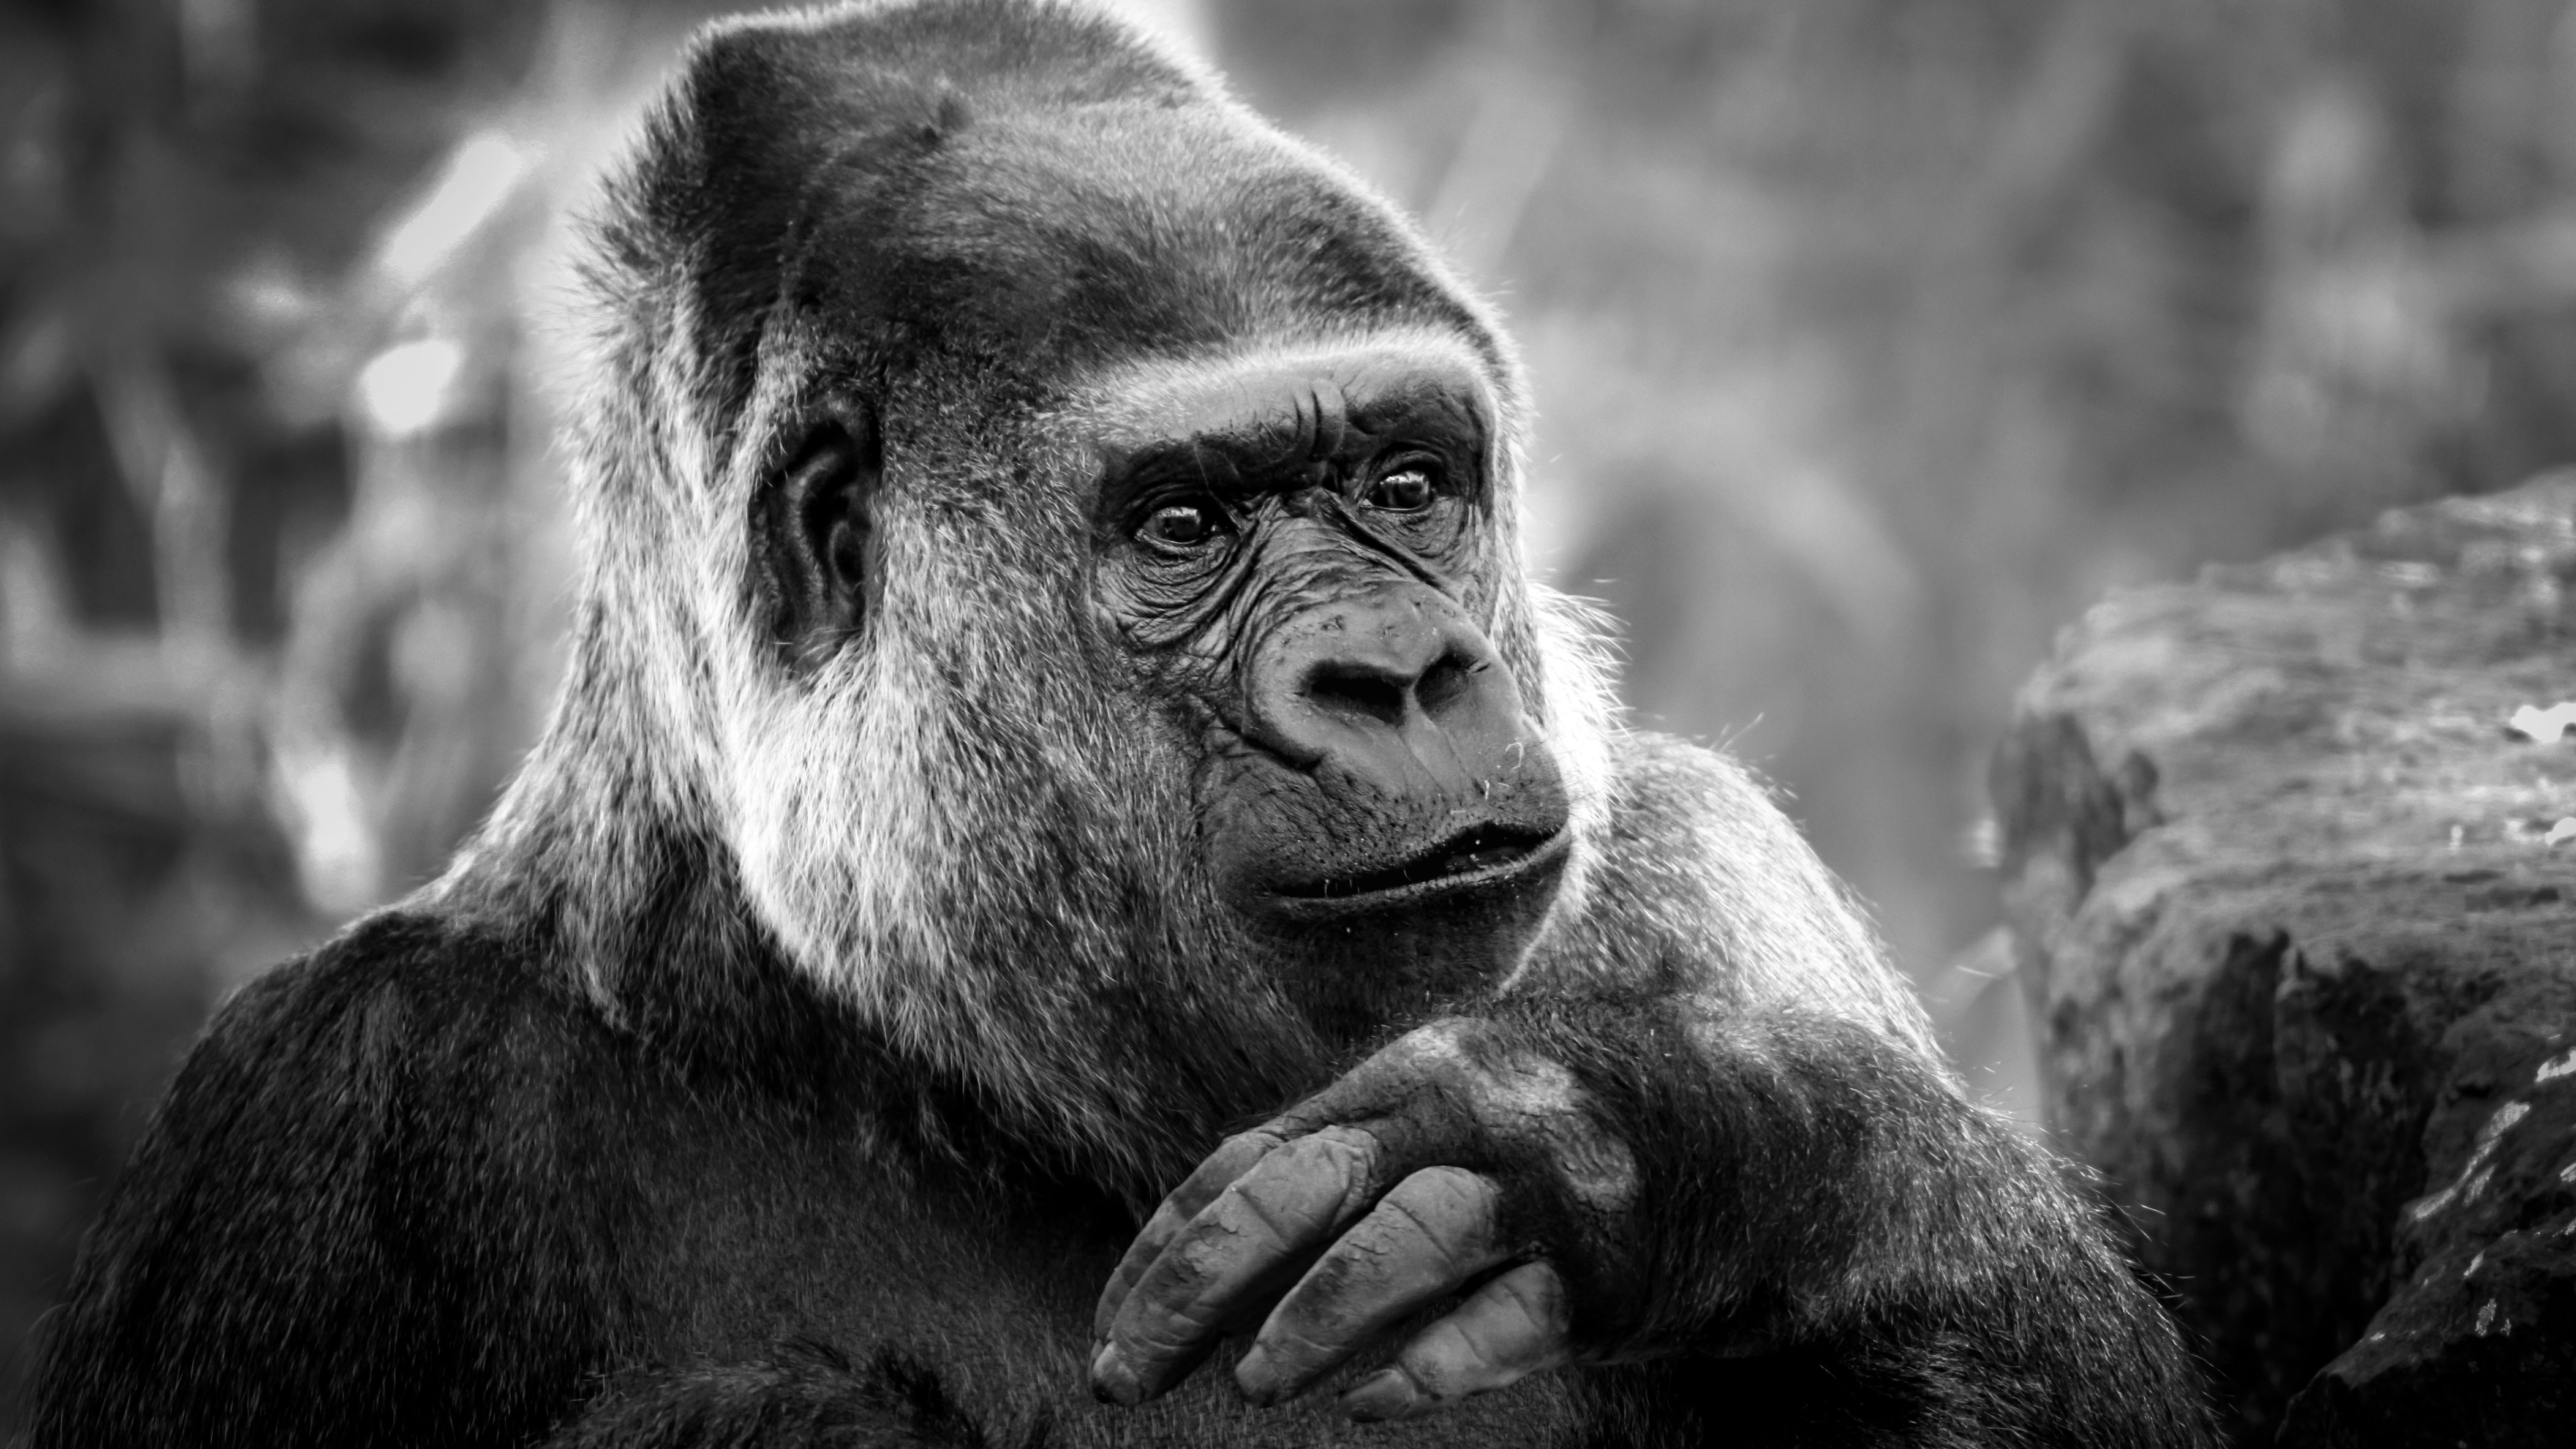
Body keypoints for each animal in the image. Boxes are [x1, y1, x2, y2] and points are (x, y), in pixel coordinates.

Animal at [26, 3, 2217, 1446]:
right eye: (1185, 526)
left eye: (1407, 483)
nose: (1399, 671)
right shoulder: (314, 1111)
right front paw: (784, 1421)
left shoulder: (1708, 876)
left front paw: (1627, 1146)